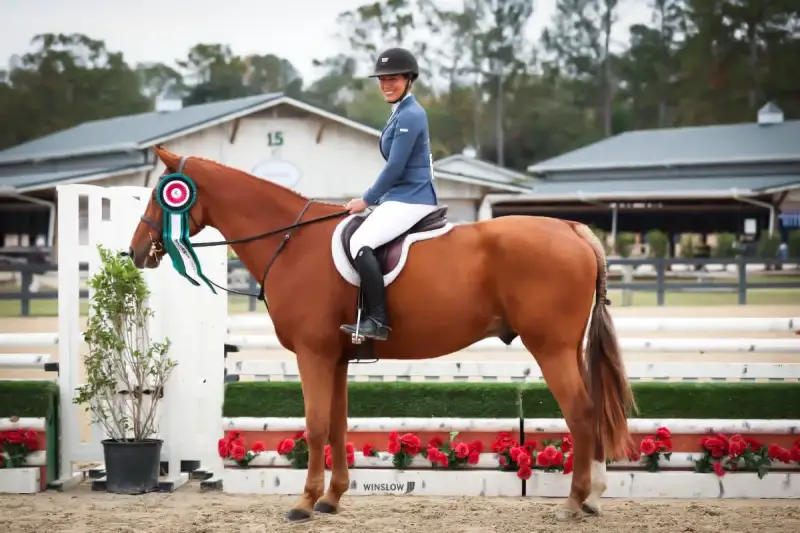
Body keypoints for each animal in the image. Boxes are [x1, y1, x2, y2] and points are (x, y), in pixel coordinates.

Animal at [128, 146, 636, 522]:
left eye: (159, 196)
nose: (135, 252)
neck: (292, 243)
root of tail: (572, 228)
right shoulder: (334, 358)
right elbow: (337, 424)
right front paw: (331, 499)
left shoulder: (312, 355)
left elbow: (314, 425)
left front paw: (303, 503)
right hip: (566, 349)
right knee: (590, 411)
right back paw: (592, 496)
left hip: (551, 348)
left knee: (581, 412)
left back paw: (575, 502)